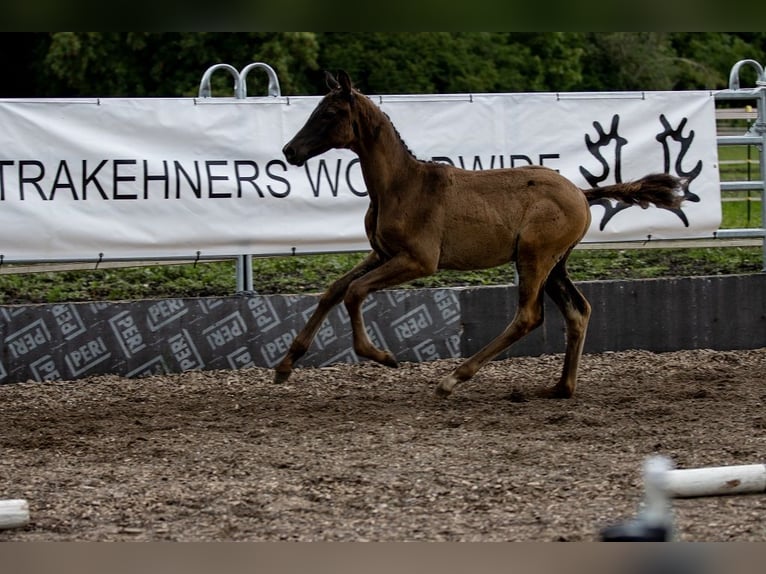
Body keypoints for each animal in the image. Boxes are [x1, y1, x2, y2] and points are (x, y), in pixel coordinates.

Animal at [280, 70, 688, 398]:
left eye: (329, 113)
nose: (289, 150)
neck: (401, 185)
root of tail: (581, 193)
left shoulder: (418, 261)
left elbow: (355, 291)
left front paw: (382, 356)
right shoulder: (382, 253)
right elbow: (334, 289)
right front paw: (285, 364)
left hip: (535, 257)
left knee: (528, 316)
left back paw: (453, 379)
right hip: (555, 264)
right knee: (578, 311)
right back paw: (559, 388)